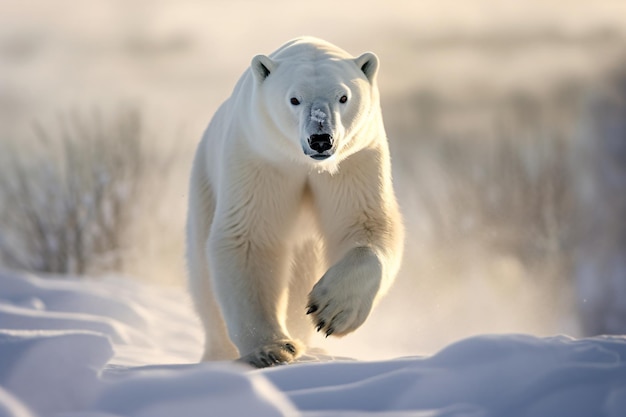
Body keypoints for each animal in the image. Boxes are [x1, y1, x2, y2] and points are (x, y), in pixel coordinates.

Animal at [185, 36, 402, 368]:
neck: (305, 165)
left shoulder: (355, 160)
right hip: (205, 185)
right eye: (294, 99)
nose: (321, 139)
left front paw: (331, 310)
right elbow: (250, 238)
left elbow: (365, 225)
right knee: (204, 281)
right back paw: (218, 354)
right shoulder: (261, 158)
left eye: (343, 96)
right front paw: (272, 348)